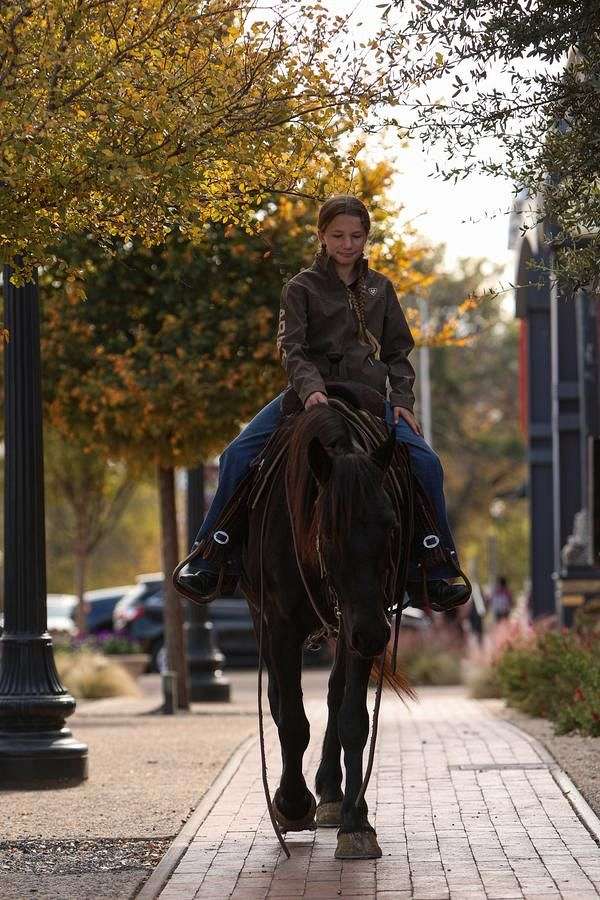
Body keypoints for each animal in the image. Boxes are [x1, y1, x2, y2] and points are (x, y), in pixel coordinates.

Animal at [239, 404, 412, 860]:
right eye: (329, 530)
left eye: (391, 526)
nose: (374, 635)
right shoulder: (280, 625)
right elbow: (293, 719)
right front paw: (292, 803)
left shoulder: (357, 622)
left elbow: (353, 717)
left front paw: (356, 820)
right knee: (279, 700)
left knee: (335, 695)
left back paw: (333, 795)